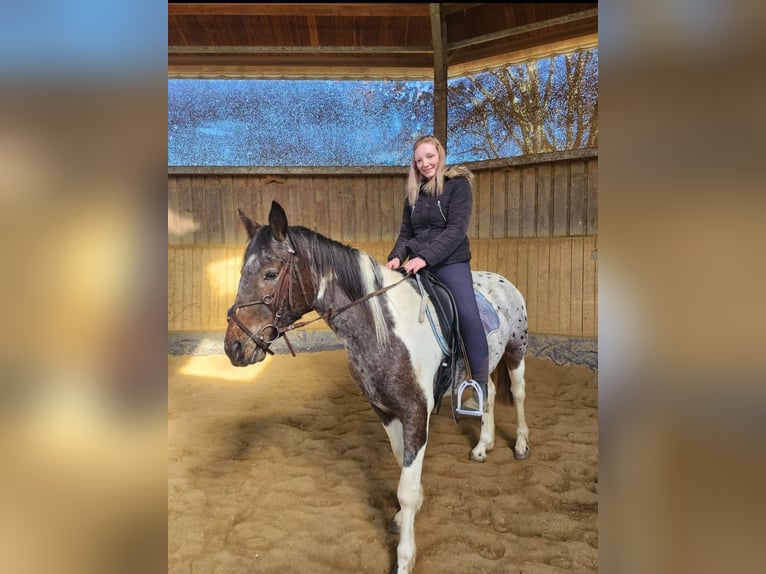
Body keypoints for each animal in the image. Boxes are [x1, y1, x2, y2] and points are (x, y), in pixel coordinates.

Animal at [224, 200, 530, 574]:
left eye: (269, 273)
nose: (234, 347)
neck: (383, 329)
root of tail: (504, 282)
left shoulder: (416, 413)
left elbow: (405, 489)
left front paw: (404, 558)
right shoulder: (384, 409)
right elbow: (402, 465)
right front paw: (406, 513)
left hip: (515, 351)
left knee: (517, 394)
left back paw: (520, 445)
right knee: (487, 393)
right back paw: (483, 446)